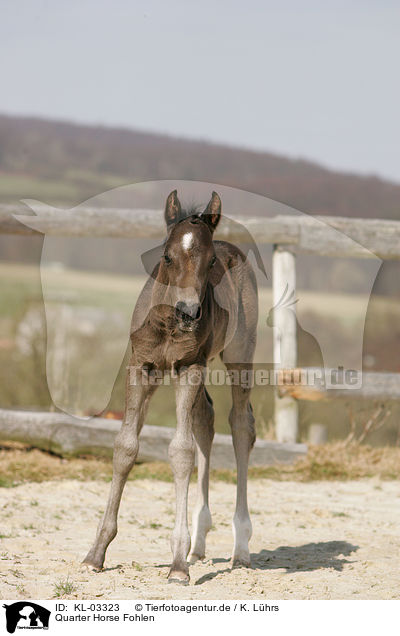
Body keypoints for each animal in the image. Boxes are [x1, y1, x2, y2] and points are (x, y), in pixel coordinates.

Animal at [83, 191, 258, 584]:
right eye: (166, 255)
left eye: (211, 262)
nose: (189, 313)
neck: (166, 322)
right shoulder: (142, 368)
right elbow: (125, 447)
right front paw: (95, 554)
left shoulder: (187, 368)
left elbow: (180, 451)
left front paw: (177, 563)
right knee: (206, 419)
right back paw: (199, 545)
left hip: (239, 357)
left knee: (241, 425)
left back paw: (240, 547)